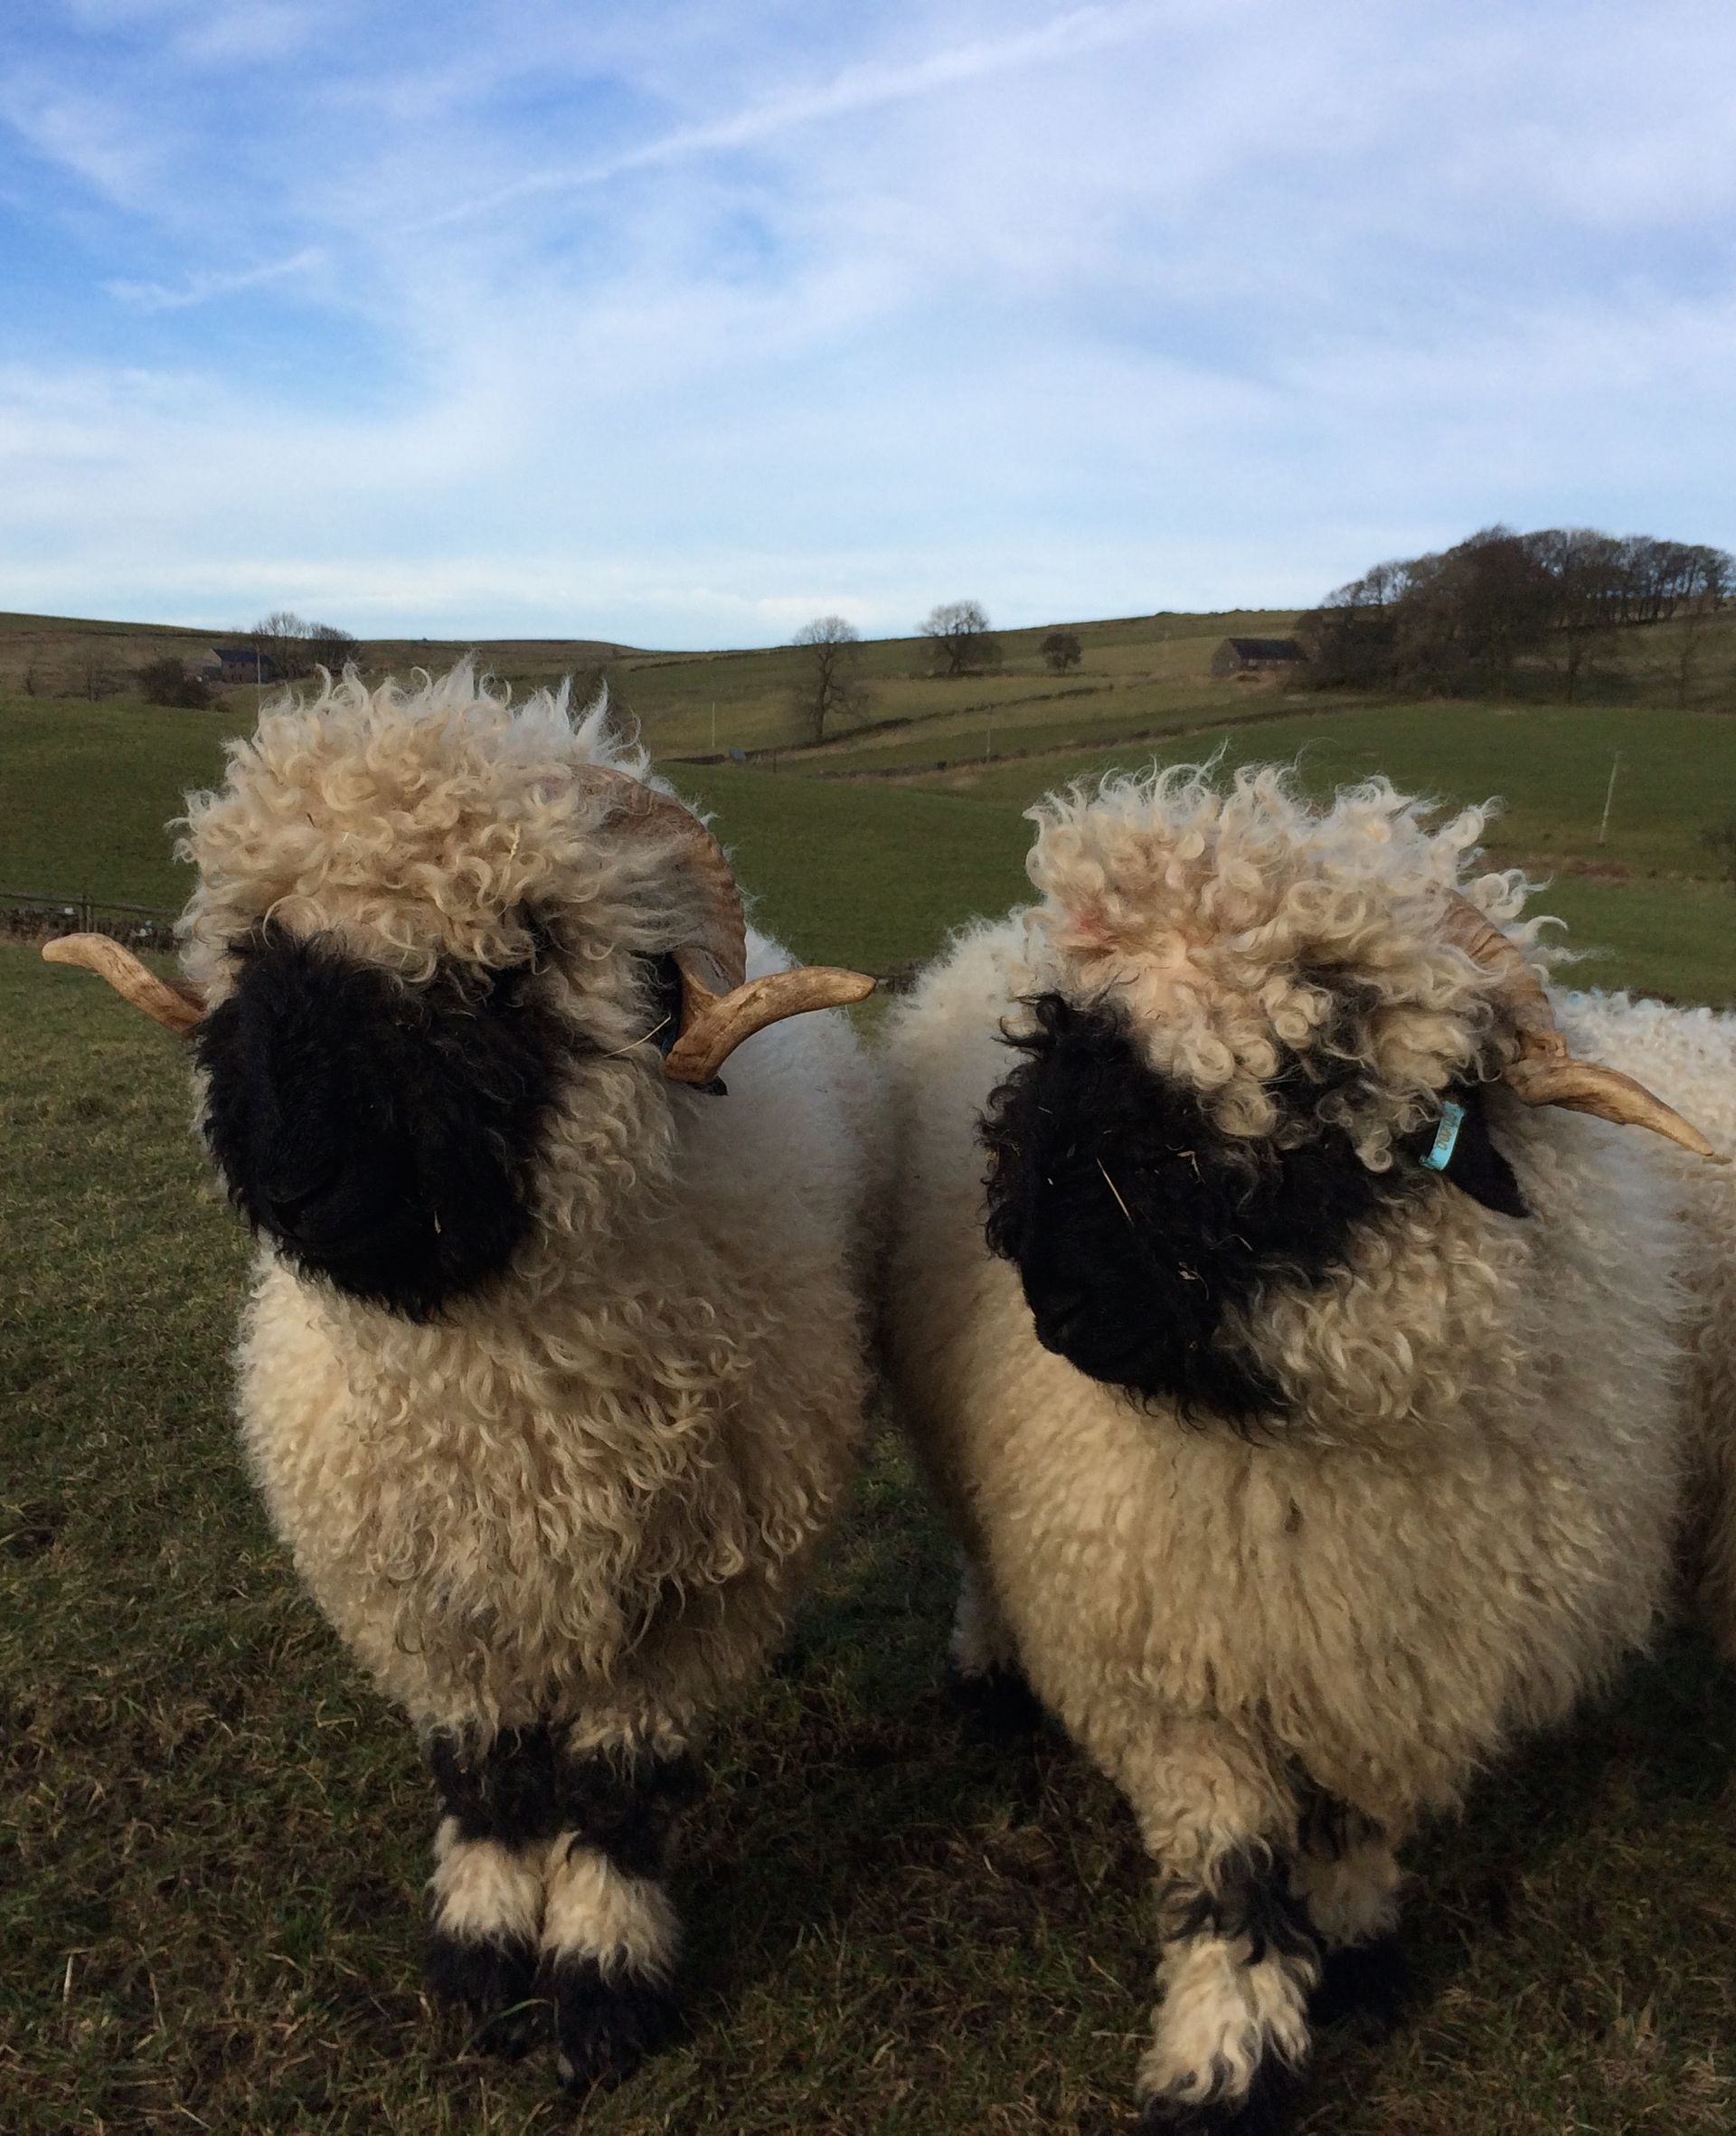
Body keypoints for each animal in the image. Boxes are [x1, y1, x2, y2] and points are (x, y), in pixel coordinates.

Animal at [46, 663, 882, 2095]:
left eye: (514, 964)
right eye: (261, 947)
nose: (290, 1172)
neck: (505, 1397)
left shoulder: (688, 1595)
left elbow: (617, 1796)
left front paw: (600, 1987)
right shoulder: (422, 1593)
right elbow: (486, 1778)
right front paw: (486, 1963)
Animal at [883, 763, 1734, 2134]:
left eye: (1305, 1082)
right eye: (1071, 1048)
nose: (1053, 1297)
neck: (1308, 1447)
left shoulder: (1397, 1657)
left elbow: (1357, 1828)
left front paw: (1359, 1955)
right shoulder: (1178, 1676)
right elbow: (1231, 1872)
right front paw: (1222, 2059)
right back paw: (989, 1668)